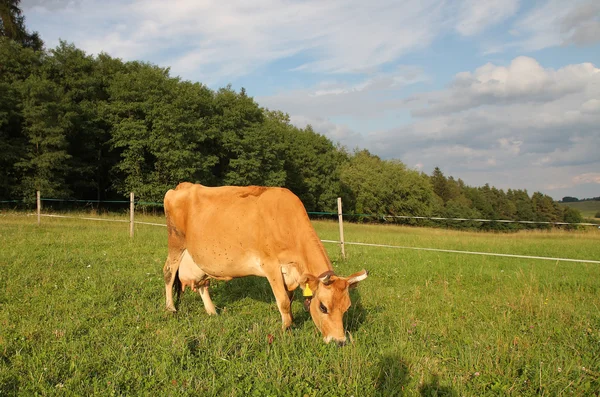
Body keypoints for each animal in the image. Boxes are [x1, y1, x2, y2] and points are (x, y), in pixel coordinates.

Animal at [162, 183, 366, 344]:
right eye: (323, 307)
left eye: (347, 308)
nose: (339, 341)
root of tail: (183, 186)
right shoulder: (270, 265)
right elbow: (283, 301)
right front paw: (286, 329)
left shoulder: (289, 272)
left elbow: (289, 299)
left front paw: (291, 321)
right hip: (176, 243)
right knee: (168, 272)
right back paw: (171, 308)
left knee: (203, 283)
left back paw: (212, 312)